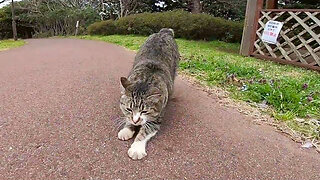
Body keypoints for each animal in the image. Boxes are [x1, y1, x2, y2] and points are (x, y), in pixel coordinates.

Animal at [118, 28, 180, 160]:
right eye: (129, 109)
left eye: (144, 111)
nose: (136, 121)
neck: (145, 80)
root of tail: (164, 32)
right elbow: (128, 119)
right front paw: (127, 129)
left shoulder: (157, 117)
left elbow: (145, 131)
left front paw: (136, 148)